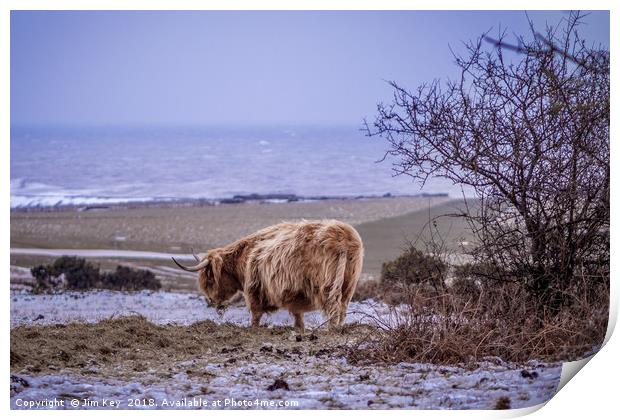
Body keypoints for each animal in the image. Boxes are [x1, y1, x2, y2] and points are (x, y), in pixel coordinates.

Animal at [171, 220, 364, 332]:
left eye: (210, 279)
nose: (213, 301)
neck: (244, 256)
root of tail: (343, 238)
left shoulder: (253, 288)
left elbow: (256, 313)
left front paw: (253, 329)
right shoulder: (296, 294)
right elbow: (298, 315)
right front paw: (299, 329)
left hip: (328, 283)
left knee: (333, 306)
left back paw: (331, 329)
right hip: (349, 285)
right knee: (343, 307)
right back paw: (339, 327)